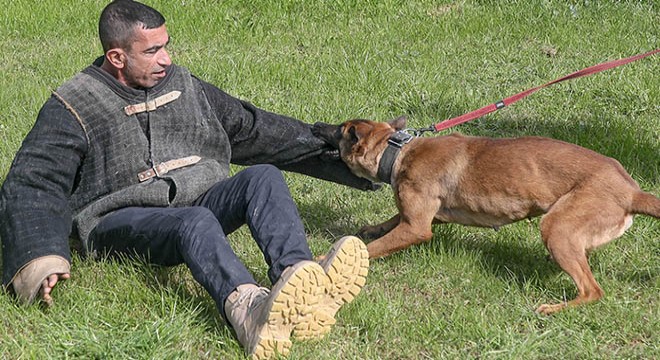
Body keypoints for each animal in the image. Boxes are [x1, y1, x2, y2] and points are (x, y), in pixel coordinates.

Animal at [314, 116, 660, 314]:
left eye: (339, 130)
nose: (316, 126)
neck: (397, 151)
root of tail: (632, 192)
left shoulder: (418, 227)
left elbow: (373, 247)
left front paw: (324, 261)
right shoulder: (422, 216)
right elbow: (391, 220)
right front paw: (373, 227)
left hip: (556, 226)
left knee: (592, 291)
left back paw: (553, 308)